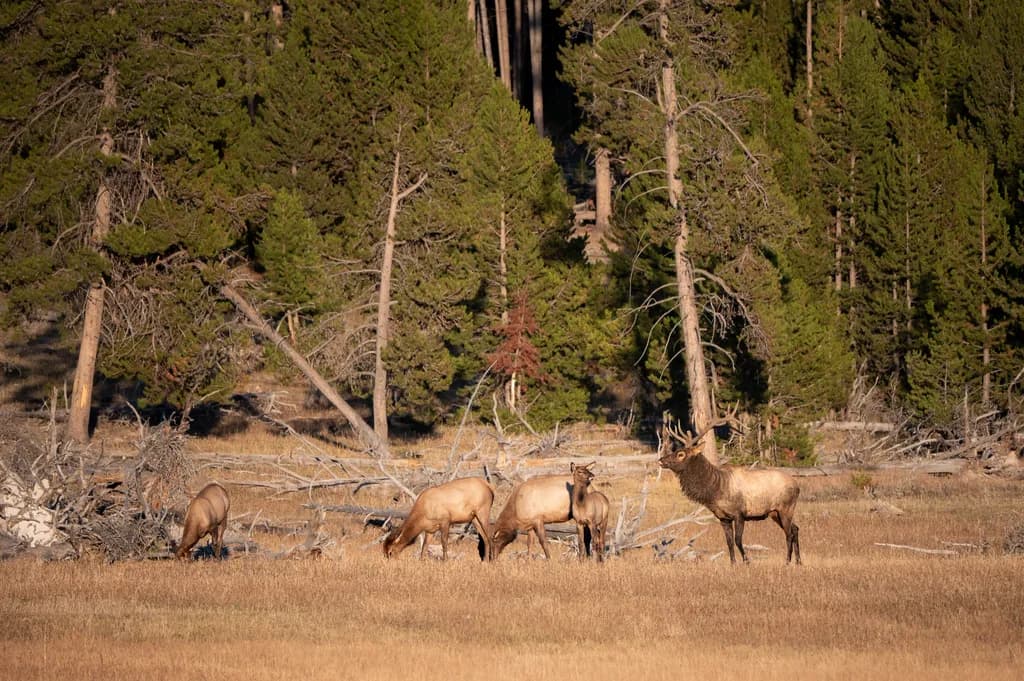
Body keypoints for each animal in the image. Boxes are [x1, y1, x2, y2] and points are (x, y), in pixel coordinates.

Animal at [658, 412, 802, 565]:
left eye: (681, 454)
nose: (661, 460)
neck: (716, 490)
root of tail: (797, 486)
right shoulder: (723, 518)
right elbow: (729, 542)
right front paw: (733, 563)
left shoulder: (739, 514)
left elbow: (738, 540)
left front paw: (746, 561)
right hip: (774, 512)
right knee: (795, 528)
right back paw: (798, 561)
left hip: (786, 508)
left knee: (789, 533)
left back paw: (787, 561)